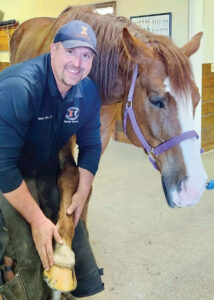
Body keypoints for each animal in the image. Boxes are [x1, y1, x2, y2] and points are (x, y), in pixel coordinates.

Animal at [7, 4, 206, 298]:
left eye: (196, 98)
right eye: (156, 100)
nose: (193, 188)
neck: (95, 79)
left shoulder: (98, 138)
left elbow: (85, 187)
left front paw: (82, 232)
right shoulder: (63, 141)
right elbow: (70, 177)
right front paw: (63, 259)